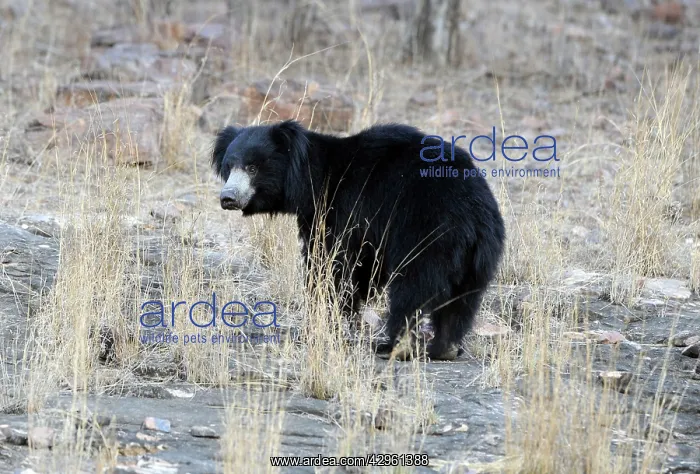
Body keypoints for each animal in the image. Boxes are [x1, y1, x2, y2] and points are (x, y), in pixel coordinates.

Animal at [211, 120, 505, 360]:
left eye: (252, 168)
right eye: (228, 166)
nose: (227, 198)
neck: (312, 179)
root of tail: (474, 214)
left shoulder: (344, 210)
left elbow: (333, 265)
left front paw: (324, 320)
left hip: (427, 234)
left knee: (413, 289)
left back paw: (392, 347)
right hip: (479, 257)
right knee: (462, 302)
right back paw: (446, 348)